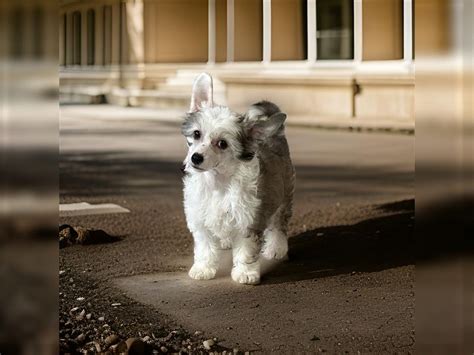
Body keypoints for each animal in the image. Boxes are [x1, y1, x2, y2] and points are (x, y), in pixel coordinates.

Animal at [181, 73, 292, 286]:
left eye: (222, 144)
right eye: (197, 134)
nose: (196, 158)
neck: (217, 182)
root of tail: (275, 134)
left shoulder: (248, 220)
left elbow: (246, 251)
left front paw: (245, 273)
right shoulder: (200, 217)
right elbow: (205, 248)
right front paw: (203, 269)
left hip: (284, 195)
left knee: (278, 224)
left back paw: (276, 249)